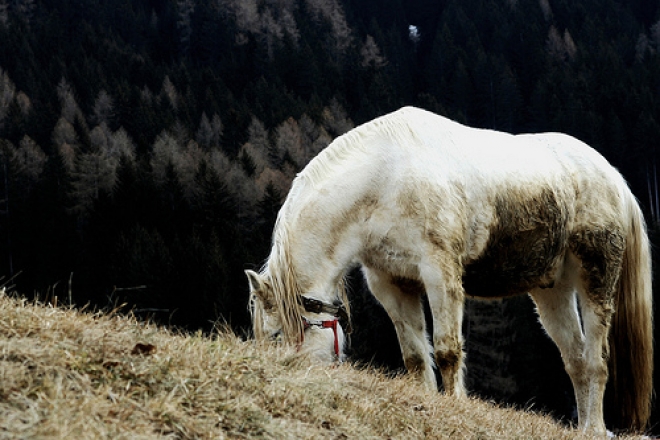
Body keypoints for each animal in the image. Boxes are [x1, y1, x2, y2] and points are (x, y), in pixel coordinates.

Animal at [245, 106, 652, 434]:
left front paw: (455, 404)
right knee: (576, 359)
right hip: (552, 289)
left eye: (277, 336)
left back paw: (595, 429)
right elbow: (414, 355)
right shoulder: (392, 283)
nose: (287, 375)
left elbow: (446, 350)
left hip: (596, 277)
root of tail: (614, 180)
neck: (384, 178)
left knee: (596, 360)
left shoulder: (440, 273)